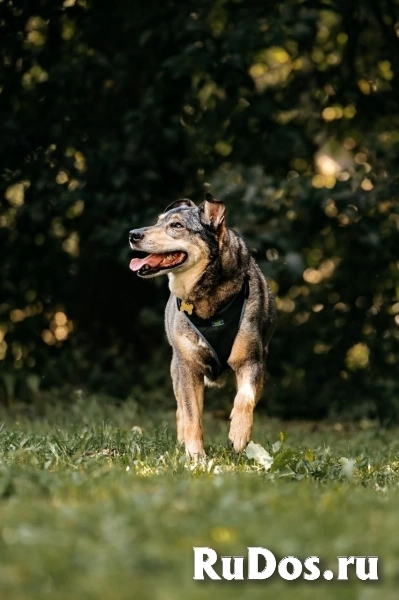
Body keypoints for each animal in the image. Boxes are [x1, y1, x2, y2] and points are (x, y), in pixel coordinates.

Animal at [130, 195, 276, 458]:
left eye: (177, 226)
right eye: (157, 221)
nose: (133, 234)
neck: (207, 299)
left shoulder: (250, 360)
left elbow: (245, 397)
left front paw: (239, 434)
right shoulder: (188, 366)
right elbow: (191, 415)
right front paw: (195, 456)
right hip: (176, 368)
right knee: (181, 407)